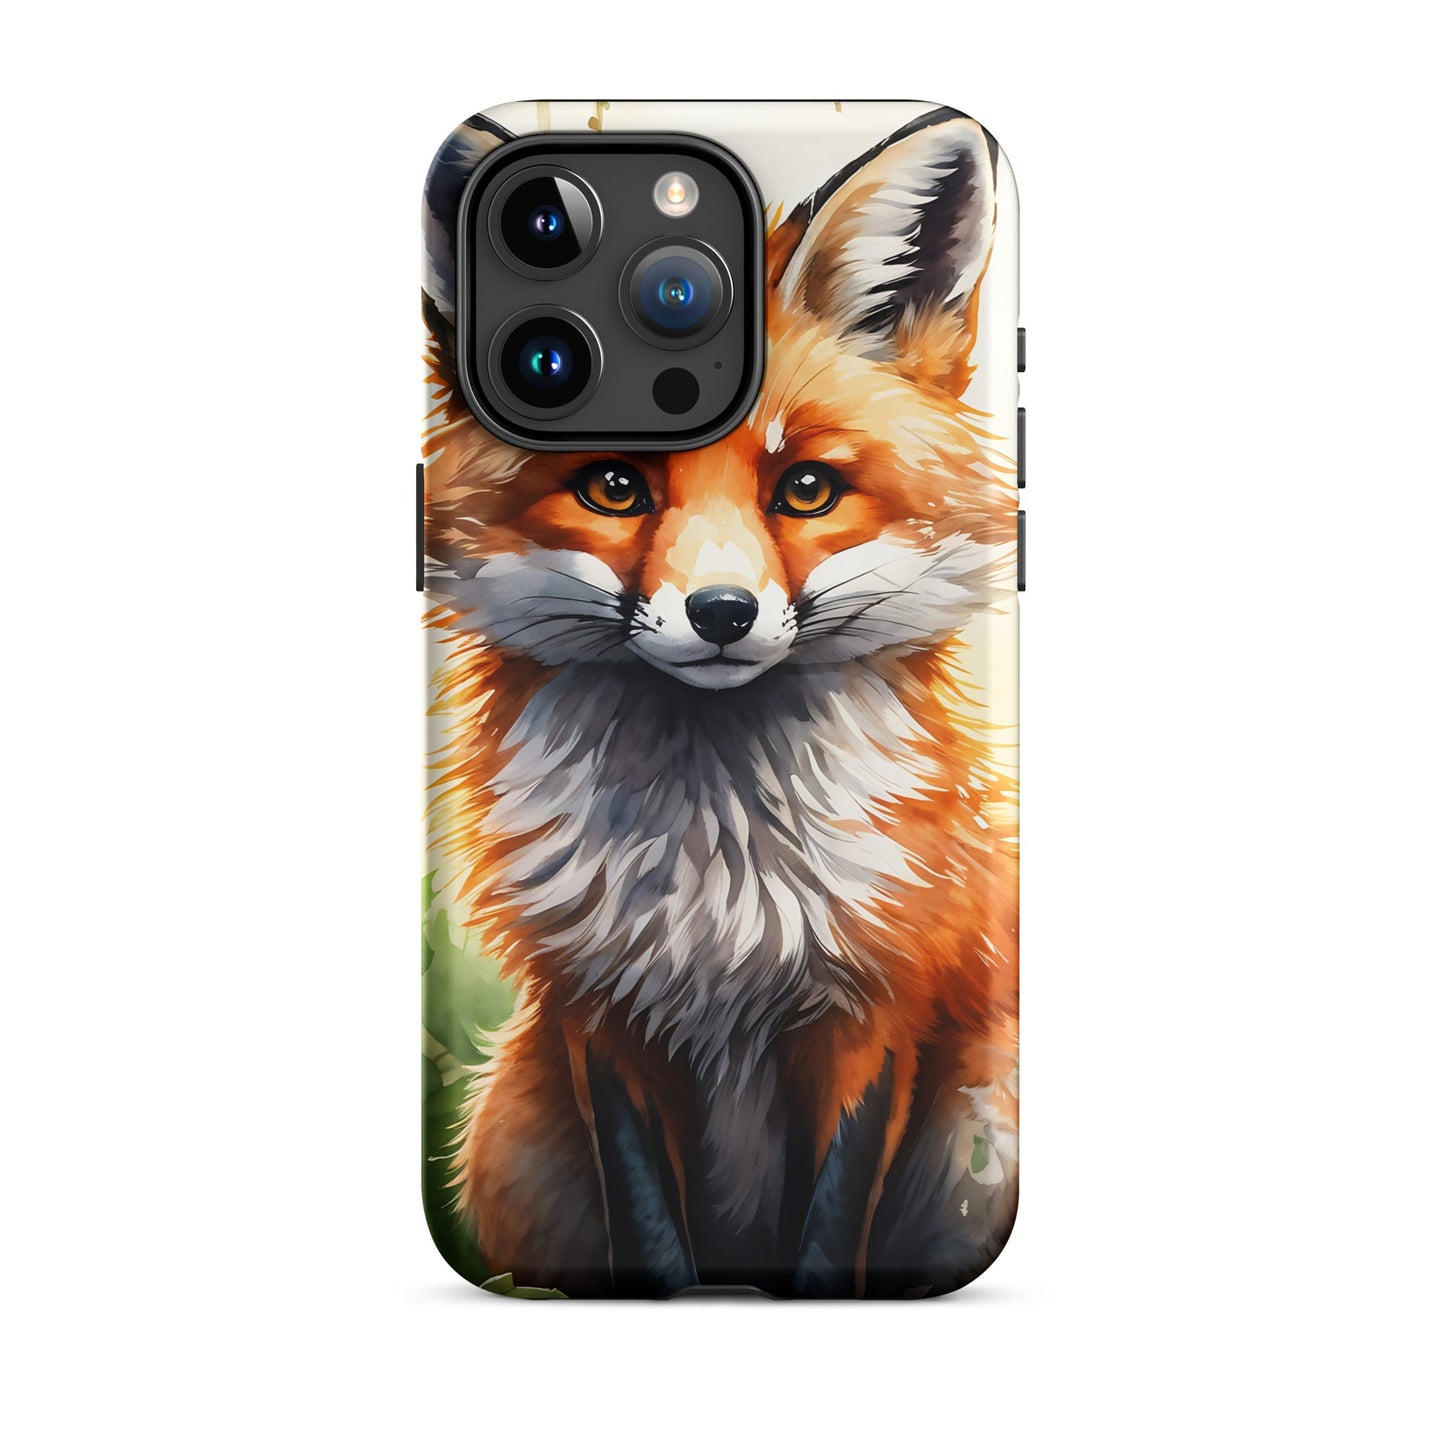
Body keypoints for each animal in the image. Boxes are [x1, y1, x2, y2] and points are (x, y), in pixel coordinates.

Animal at [422, 110, 1019, 1298]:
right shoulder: (601, 1015)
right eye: (615, 485)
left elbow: (830, 1231)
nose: (723, 612)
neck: (719, 891)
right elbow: (648, 1227)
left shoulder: (875, 1009)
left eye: (806, 489)